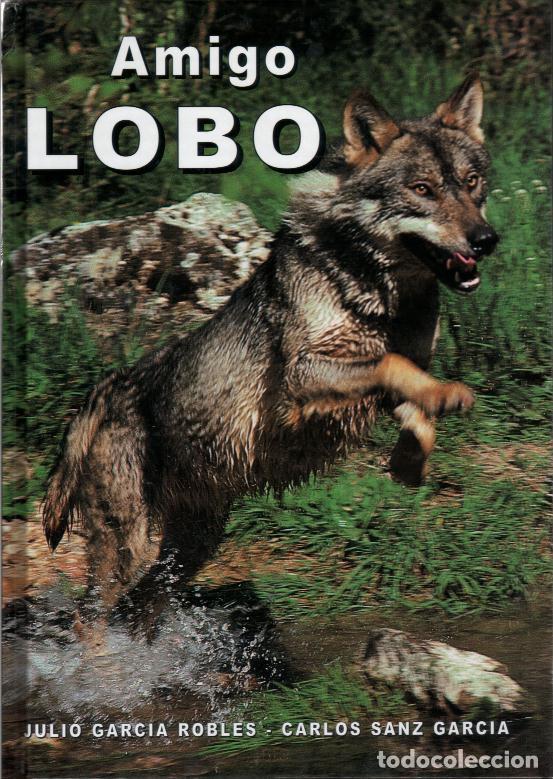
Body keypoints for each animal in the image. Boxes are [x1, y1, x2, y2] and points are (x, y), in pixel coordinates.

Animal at [43, 73, 498, 639]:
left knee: (140, 608)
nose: (486, 240)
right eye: (423, 190)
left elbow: (413, 397)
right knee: (88, 620)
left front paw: (409, 462)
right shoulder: (302, 380)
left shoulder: (377, 382)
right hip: (129, 546)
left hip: (192, 548)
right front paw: (445, 400)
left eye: (472, 182)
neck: (378, 298)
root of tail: (105, 390)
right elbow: (392, 365)